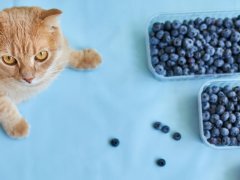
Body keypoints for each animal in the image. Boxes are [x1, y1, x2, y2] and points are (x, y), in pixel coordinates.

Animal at [0, 6, 101, 138]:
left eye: (41, 55)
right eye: (8, 59)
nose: (28, 78)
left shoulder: (60, 51)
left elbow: (66, 53)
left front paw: (87, 58)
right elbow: (5, 106)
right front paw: (17, 125)